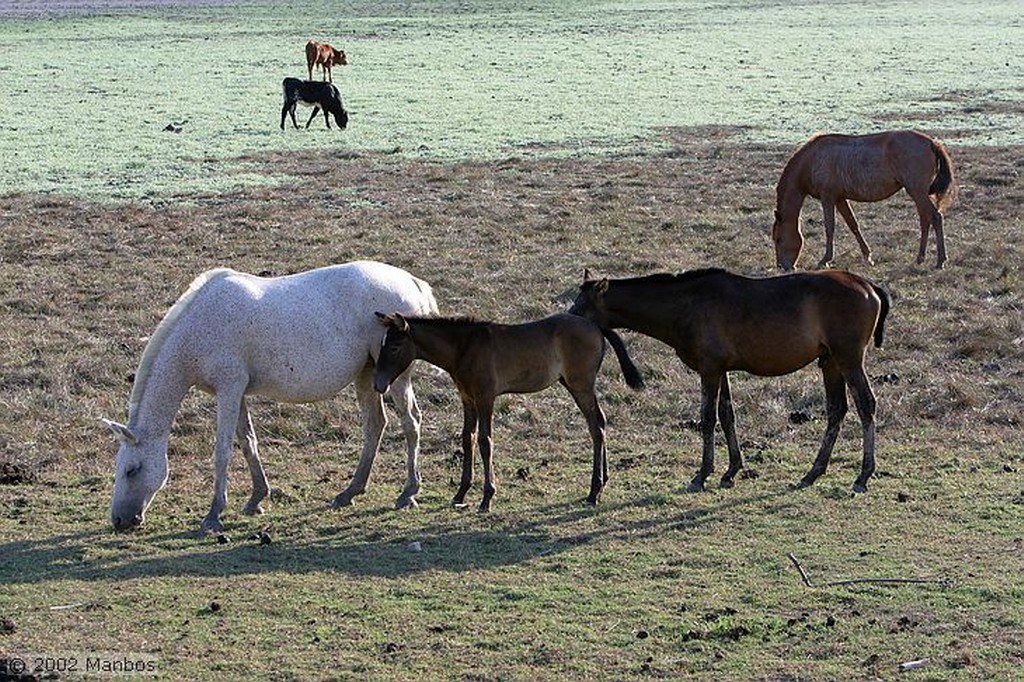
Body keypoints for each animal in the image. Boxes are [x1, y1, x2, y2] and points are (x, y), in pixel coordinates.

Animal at [102, 260, 436, 532]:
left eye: (132, 470)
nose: (119, 521)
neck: (200, 325)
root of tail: (412, 282)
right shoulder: (237, 393)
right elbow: (248, 442)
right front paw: (256, 499)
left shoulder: (228, 390)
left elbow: (222, 452)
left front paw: (213, 514)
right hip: (366, 375)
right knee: (375, 425)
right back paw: (349, 492)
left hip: (396, 378)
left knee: (411, 423)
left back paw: (408, 493)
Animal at [372, 311, 643, 507]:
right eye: (382, 344)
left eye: (394, 346)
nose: (378, 384)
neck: (464, 347)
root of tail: (595, 325)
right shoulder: (467, 399)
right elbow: (467, 439)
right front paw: (460, 494)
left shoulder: (485, 398)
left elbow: (485, 441)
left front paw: (487, 497)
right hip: (574, 384)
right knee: (599, 422)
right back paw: (602, 482)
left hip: (581, 384)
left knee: (596, 426)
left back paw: (593, 491)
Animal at [573, 266, 892, 493]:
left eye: (580, 306)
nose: (568, 321)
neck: (687, 305)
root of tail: (868, 286)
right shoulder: (720, 369)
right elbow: (727, 416)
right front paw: (731, 471)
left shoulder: (710, 369)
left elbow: (708, 418)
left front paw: (702, 475)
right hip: (831, 363)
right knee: (836, 410)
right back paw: (813, 472)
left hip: (848, 359)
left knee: (866, 405)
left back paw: (863, 475)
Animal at [770, 131, 954, 270]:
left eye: (779, 239)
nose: (782, 266)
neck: (812, 159)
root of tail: (932, 142)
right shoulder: (840, 198)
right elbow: (853, 225)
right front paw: (868, 256)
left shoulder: (827, 197)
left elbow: (830, 228)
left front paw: (825, 259)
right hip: (918, 193)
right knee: (925, 220)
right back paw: (920, 258)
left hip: (917, 191)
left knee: (936, 217)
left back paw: (940, 261)